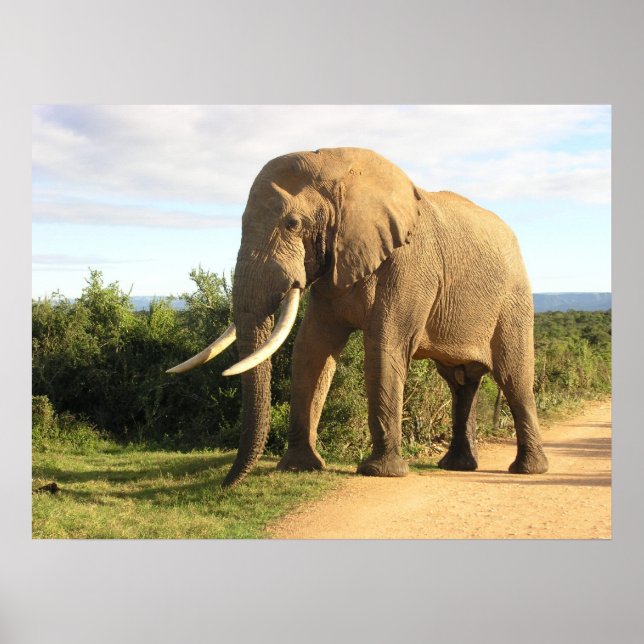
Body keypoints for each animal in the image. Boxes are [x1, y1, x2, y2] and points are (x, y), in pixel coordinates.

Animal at [168, 147, 549, 488]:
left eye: (293, 224)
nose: (225, 486)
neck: (338, 167)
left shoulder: (408, 265)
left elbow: (384, 348)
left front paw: (380, 472)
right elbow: (311, 349)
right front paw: (298, 467)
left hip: (514, 300)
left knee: (513, 377)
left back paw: (527, 470)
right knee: (461, 382)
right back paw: (457, 466)